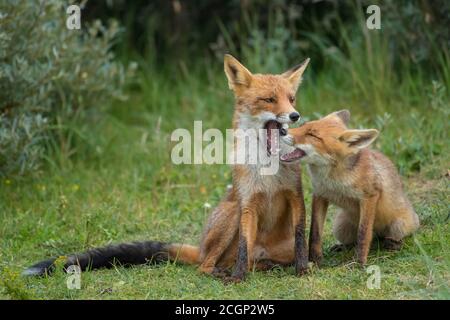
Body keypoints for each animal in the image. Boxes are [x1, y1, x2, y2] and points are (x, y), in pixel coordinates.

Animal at [24, 55, 312, 282]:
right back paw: (223, 272)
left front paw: (302, 270)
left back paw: (267, 267)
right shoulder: (247, 203)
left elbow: (301, 239)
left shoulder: (295, 195)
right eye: (269, 99)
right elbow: (243, 248)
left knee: (252, 261)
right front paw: (238, 279)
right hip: (231, 213)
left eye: (292, 99)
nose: (295, 115)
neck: (268, 169)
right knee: (206, 265)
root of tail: (199, 247)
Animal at [280, 110, 420, 264]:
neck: (333, 179)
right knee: (353, 241)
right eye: (303, 125)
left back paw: (393, 244)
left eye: (312, 135)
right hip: (340, 227)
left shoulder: (370, 196)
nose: (282, 130)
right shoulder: (319, 194)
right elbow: (315, 232)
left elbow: (363, 233)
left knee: (390, 236)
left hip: (398, 225)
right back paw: (342, 247)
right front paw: (315, 260)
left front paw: (359, 262)